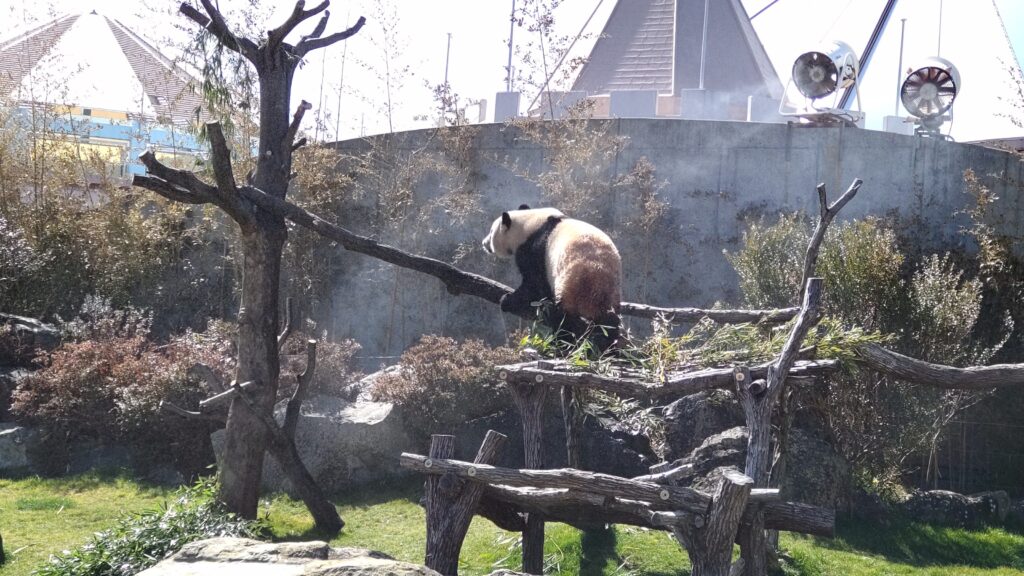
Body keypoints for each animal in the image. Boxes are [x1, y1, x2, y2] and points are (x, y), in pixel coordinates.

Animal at [481, 204, 622, 350]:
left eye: (491, 231)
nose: (484, 243)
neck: (531, 224)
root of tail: (596, 278)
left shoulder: (536, 250)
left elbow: (533, 284)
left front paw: (507, 300)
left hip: (569, 284)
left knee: (562, 317)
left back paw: (561, 341)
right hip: (611, 291)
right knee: (609, 322)